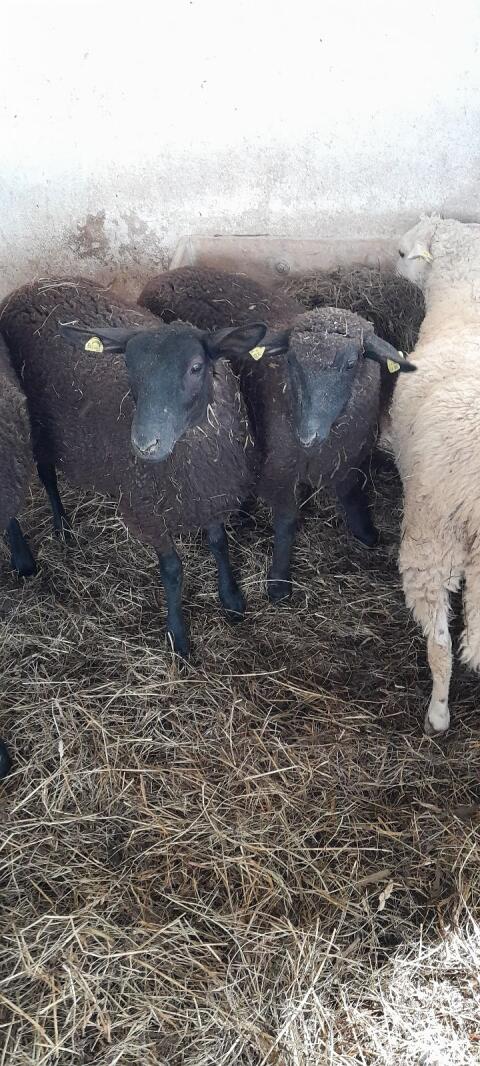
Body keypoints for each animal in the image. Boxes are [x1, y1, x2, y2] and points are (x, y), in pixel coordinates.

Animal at [0, 277, 268, 656]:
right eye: (129, 368)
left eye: (196, 367)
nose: (145, 444)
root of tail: (31, 286)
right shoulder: (148, 510)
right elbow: (172, 570)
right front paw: (178, 636)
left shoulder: (209, 493)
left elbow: (219, 543)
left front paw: (231, 599)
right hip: (33, 424)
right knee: (43, 476)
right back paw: (52, 535)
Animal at [140, 268, 414, 600]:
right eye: (292, 360)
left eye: (351, 363)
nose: (307, 434)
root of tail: (165, 276)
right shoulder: (280, 471)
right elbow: (286, 523)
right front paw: (279, 581)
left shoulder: (346, 457)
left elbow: (350, 493)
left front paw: (367, 533)